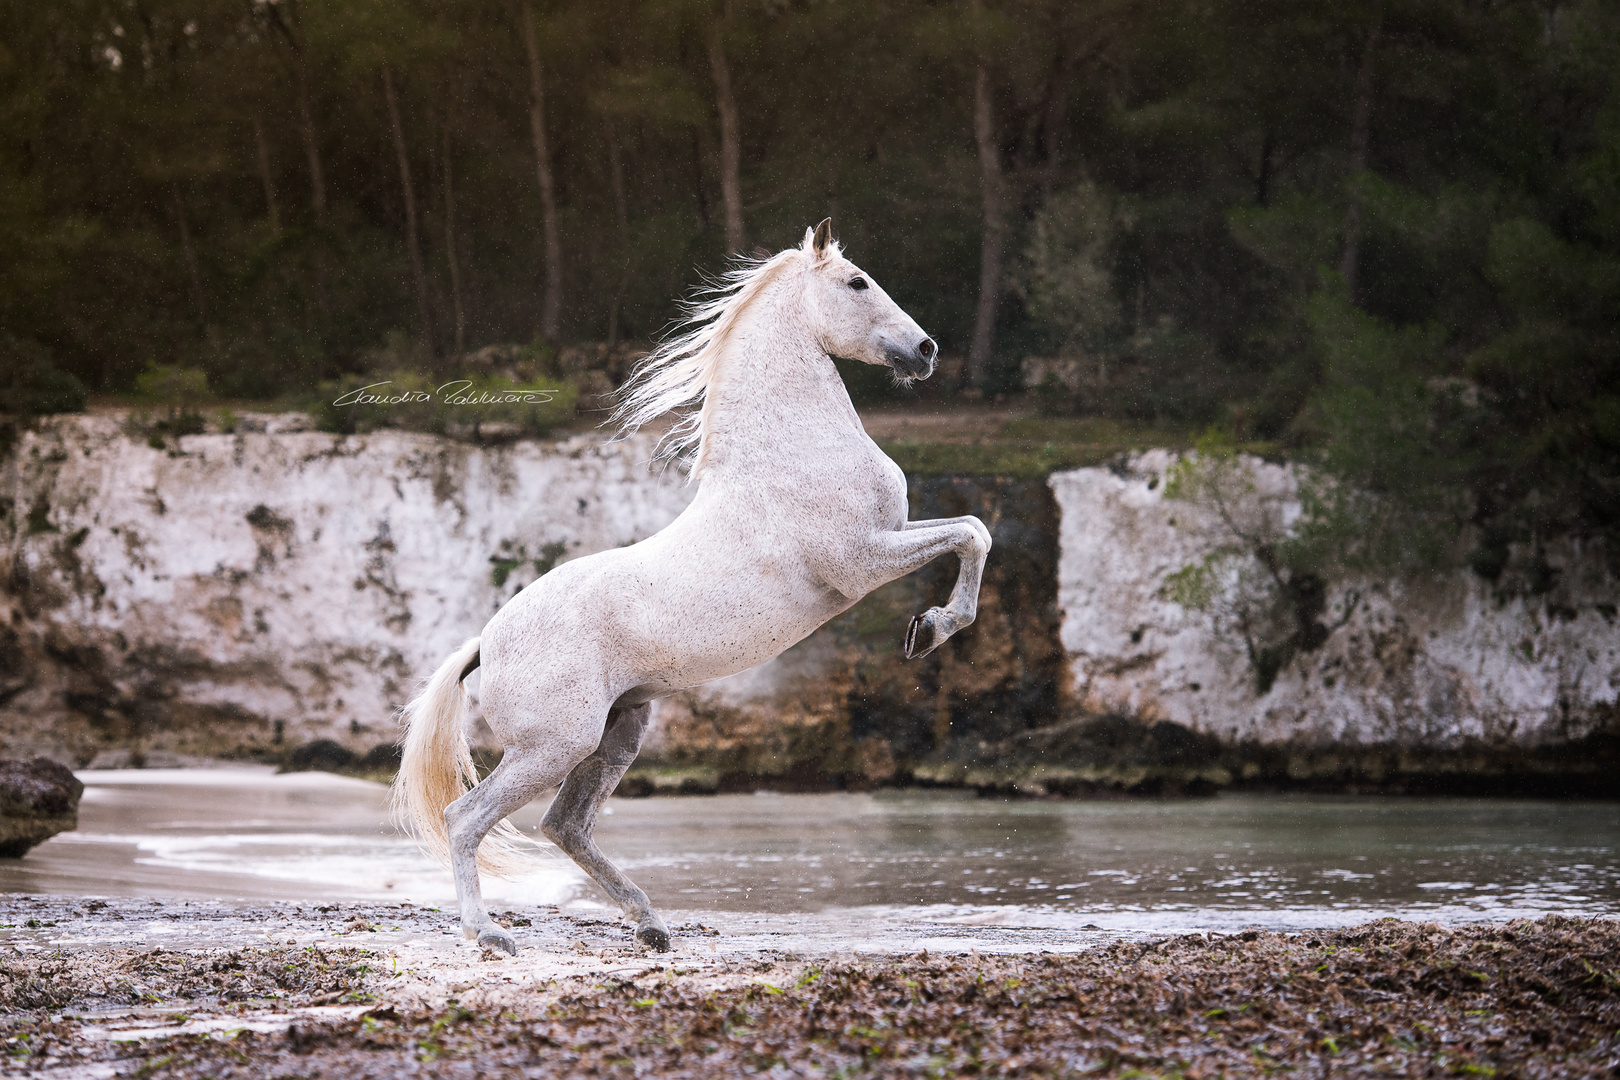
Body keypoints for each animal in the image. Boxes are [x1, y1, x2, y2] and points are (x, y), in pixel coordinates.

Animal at [398, 220, 991, 952]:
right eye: (857, 283)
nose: (927, 351)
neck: (788, 454)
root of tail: (485, 643)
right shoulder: (864, 562)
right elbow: (972, 536)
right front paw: (931, 629)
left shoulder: (893, 537)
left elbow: (972, 528)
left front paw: (928, 627)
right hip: (552, 746)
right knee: (468, 817)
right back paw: (489, 933)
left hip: (619, 731)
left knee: (566, 825)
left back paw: (651, 924)